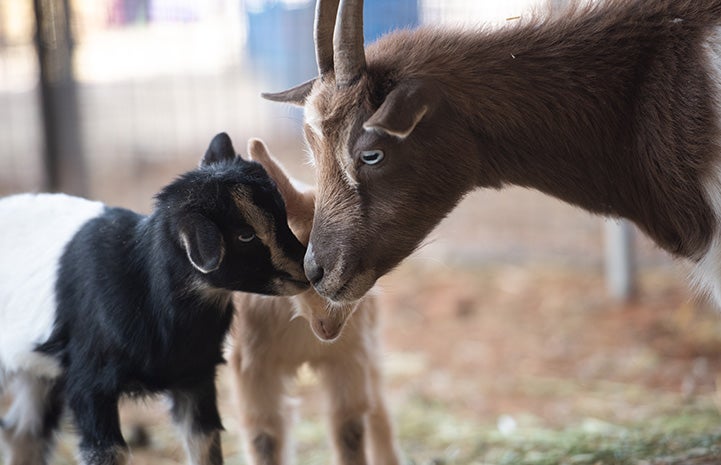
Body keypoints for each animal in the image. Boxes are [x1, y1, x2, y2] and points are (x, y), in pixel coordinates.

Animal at [0, 131, 306, 464]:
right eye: (245, 235)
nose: (308, 269)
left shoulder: (196, 377)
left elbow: (205, 444)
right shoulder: (89, 382)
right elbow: (107, 450)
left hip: (35, 372)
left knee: (22, 432)